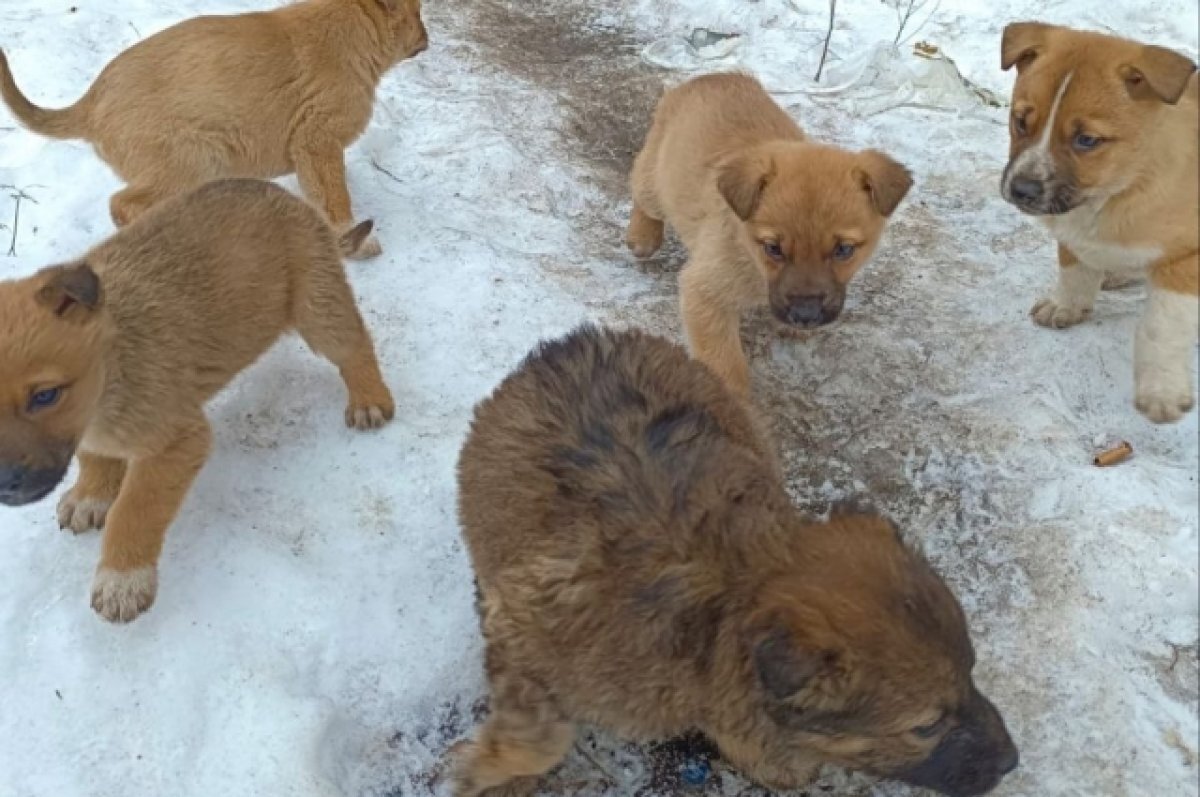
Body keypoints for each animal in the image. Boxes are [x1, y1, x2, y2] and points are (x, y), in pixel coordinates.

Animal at [0, 0, 432, 256]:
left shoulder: (309, 149)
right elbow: (335, 198)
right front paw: (354, 237)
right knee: (123, 204)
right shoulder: (317, 140)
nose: (428, 38)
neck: (354, 26)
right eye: (418, 13)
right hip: (193, 160)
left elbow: (321, 192)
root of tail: (89, 104)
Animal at [0, 178, 396, 624]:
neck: (113, 362)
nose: (5, 485)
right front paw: (91, 494)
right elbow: (94, 457)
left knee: (354, 344)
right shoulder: (90, 430)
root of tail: (282, 194)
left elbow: (135, 509)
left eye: (45, 396)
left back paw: (369, 399)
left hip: (317, 303)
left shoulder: (177, 440)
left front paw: (122, 579)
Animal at [453, 324, 1017, 797]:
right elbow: (539, 736)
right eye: (926, 726)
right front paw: (491, 769)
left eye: (972, 672)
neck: (732, 588)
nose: (1012, 761)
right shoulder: (523, 622)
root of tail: (572, 340)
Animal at [628, 72, 907, 396]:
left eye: (844, 250)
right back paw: (642, 236)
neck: (750, 257)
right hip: (657, 182)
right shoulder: (705, 294)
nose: (805, 317)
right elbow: (727, 366)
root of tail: (714, 76)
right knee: (641, 188)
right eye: (773, 248)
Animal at [998, 21, 1195, 422]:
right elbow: (1073, 267)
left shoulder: (1184, 258)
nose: (1022, 190)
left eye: (1087, 140)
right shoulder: (1072, 228)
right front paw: (1066, 306)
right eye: (1021, 121)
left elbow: (1161, 326)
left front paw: (1161, 391)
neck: (1120, 188)